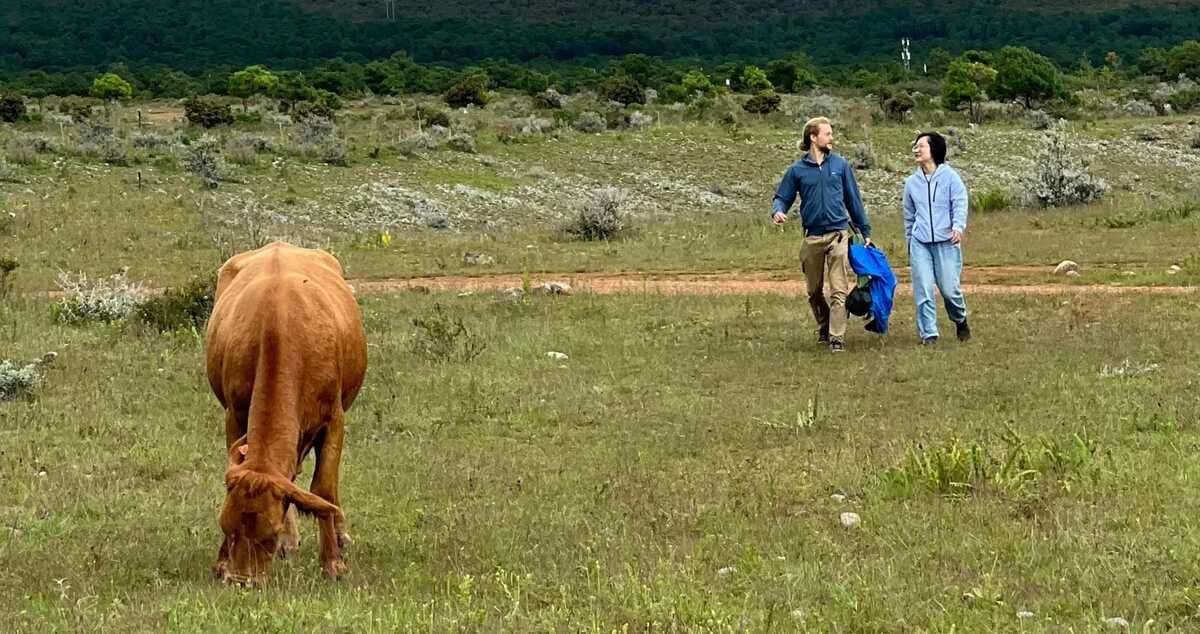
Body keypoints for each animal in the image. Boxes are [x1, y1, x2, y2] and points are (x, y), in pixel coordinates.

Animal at [205, 242, 367, 584]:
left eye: (268, 535)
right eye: (226, 526)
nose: (241, 581)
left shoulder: (333, 419)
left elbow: (323, 490)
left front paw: (332, 562)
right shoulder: (234, 415)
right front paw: (222, 562)